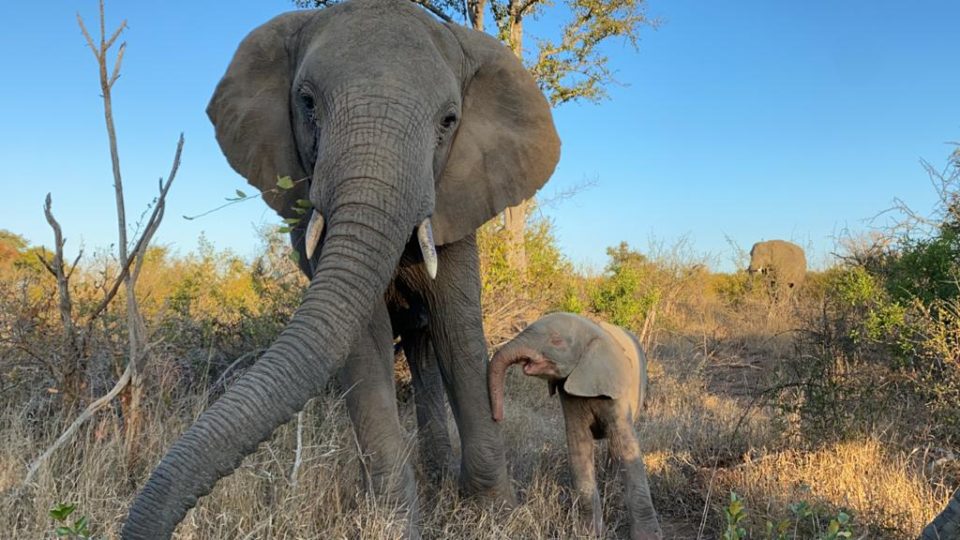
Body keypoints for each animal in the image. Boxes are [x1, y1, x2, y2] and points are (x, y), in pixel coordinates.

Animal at [122, 1, 560, 538]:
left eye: (449, 121)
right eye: (307, 103)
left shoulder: (460, 199)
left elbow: (458, 332)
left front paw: (494, 515)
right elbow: (363, 340)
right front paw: (393, 523)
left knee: (426, 344)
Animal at [488, 312, 662, 540]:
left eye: (556, 341)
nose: (497, 417)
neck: (593, 332)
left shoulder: (617, 393)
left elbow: (626, 446)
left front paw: (649, 536)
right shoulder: (569, 394)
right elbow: (578, 445)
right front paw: (588, 533)